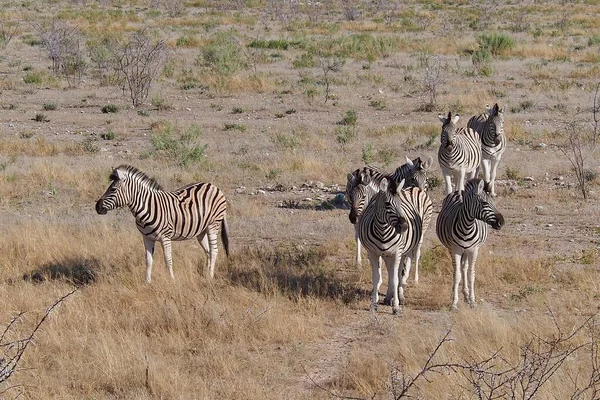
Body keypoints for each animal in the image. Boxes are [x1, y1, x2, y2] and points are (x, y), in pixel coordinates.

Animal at [96, 164, 230, 282]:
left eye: (113, 189)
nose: (97, 207)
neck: (148, 207)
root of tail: (213, 186)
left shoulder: (165, 237)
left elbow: (168, 259)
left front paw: (171, 280)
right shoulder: (147, 238)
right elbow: (148, 261)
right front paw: (147, 282)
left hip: (213, 224)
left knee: (214, 250)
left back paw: (210, 277)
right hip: (201, 230)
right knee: (208, 251)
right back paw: (206, 273)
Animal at [354, 177, 434, 314]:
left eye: (401, 203)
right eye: (387, 204)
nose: (405, 227)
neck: (382, 231)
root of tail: (413, 188)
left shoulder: (396, 252)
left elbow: (395, 278)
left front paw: (396, 307)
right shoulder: (373, 253)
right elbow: (377, 277)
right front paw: (374, 304)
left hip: (418, 238)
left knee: (411, 260)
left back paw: (403, 291)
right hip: (389, 254)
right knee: (394, 271)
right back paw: (388, 296)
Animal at [434, 178, 504, 310]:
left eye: (493, 201)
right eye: (484, 203)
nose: (501, 222)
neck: (467, 226)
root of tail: (459, 191)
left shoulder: (473, 250)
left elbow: (471, 274)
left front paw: (472, 301)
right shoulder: (455, 250)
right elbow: (456, 275)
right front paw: (454, 303)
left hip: (466, 250)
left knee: (464, 268)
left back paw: (466, 295)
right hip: (454, 249)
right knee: (458, 269)